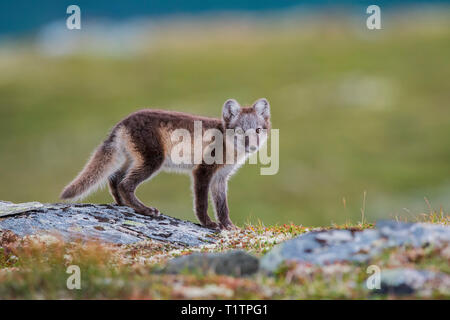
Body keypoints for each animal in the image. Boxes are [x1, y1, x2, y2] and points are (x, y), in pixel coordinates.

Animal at [60, 98, 270, 230]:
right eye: (240, 130)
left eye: (258, 130)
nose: (252, 146)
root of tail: (122, 123)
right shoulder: (202, 171)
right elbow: (201, 203)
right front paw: (208, 224)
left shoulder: (220, 178)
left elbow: (222, 206)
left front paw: (229, 226)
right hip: (152, 160)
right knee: (125, 184)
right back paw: (145, 210)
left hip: (131, 159)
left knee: (115, 178)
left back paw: (123, 204)